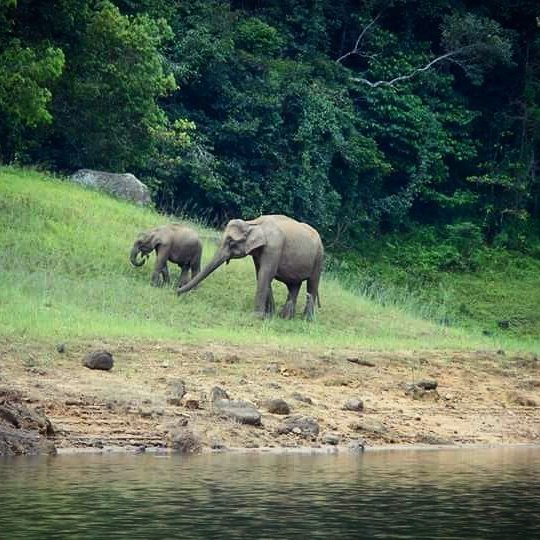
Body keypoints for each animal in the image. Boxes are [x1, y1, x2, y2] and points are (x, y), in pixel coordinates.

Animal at [177, 215, 322, 320]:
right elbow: (260, 274)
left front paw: (257, 317)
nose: (176, 292)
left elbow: (266, 274)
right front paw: (269, 315)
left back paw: (306, 319)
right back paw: (285, 317)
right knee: (294, 286)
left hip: (319, 258)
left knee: (312, 284)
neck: (253, 223)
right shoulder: (258, 253)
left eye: (231, 241)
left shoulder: (274, 248)